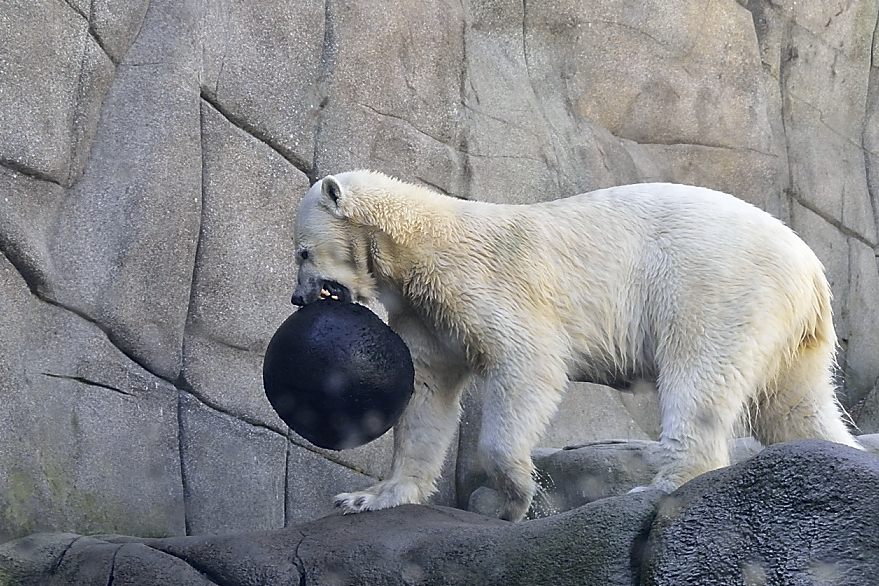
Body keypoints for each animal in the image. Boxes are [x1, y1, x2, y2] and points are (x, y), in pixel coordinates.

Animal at [290, 170, 860, 520]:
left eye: (301, 252)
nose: (297, 298)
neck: (422, 240)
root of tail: (811, 271)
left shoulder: (485, 283)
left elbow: (530, 364)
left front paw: (515, 498)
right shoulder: (428, 316)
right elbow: (427, 395)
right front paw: (370, 497)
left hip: (715, 285)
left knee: (700, 376)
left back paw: (661, 485)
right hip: (792, 335)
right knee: (794, 406)